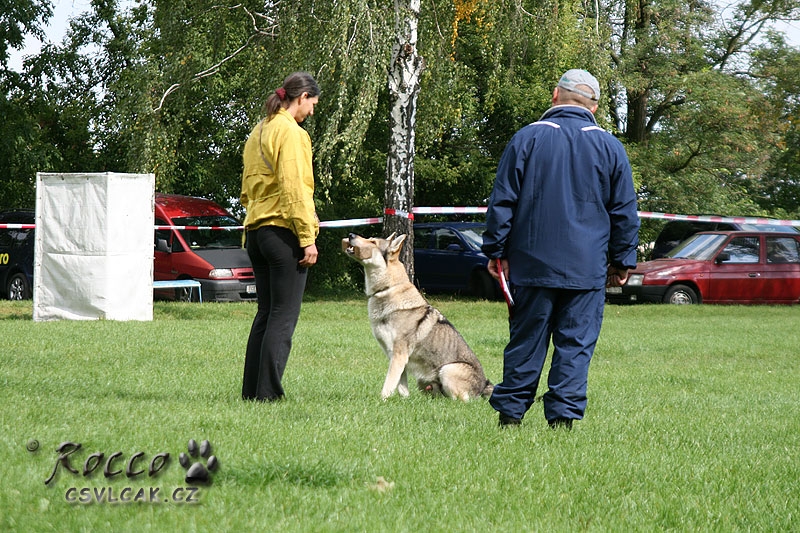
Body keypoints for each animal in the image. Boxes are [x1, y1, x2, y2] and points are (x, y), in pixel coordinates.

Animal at [340, 231, 490, 402]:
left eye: (373, 242)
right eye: (370, 238)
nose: (350, 234)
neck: (387, 289)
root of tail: (484, 386)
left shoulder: (399, 355)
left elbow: (389, 383)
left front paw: (381, 401)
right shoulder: (395, 356)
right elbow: (401, 386)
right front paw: (404, 401)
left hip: (447, 370)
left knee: (460, 401)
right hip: (424, 381)